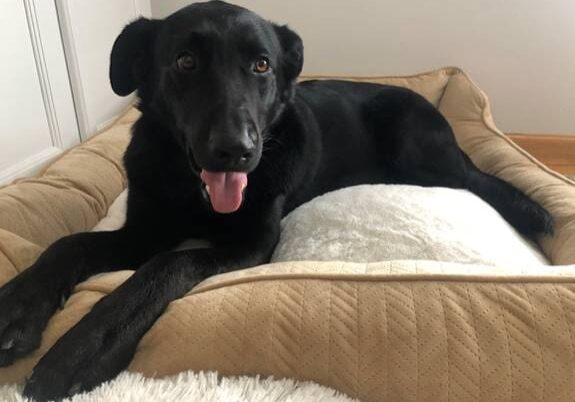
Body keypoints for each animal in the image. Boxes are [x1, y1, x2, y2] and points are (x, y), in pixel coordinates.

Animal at [0, 1, 552, 400]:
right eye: (185, 61)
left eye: (261, 65)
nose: (237, 151)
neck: (190, 187)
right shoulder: (141, 232)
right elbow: (67, 245)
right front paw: (18, 309)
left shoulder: (249, 244)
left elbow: (163, 268)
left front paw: (82, 352)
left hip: (420, 152)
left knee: (480, 181)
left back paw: (535, 212)